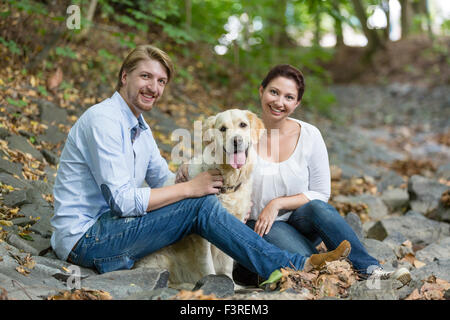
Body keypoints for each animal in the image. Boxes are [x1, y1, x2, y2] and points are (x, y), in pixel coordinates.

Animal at [135, 109, 266, 284]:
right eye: (223, 129)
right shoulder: (201, 236)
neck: (227, 180)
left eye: (243, 125)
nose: (237, 140)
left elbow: (227, 264)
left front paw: (230, 283)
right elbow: (207, 264)